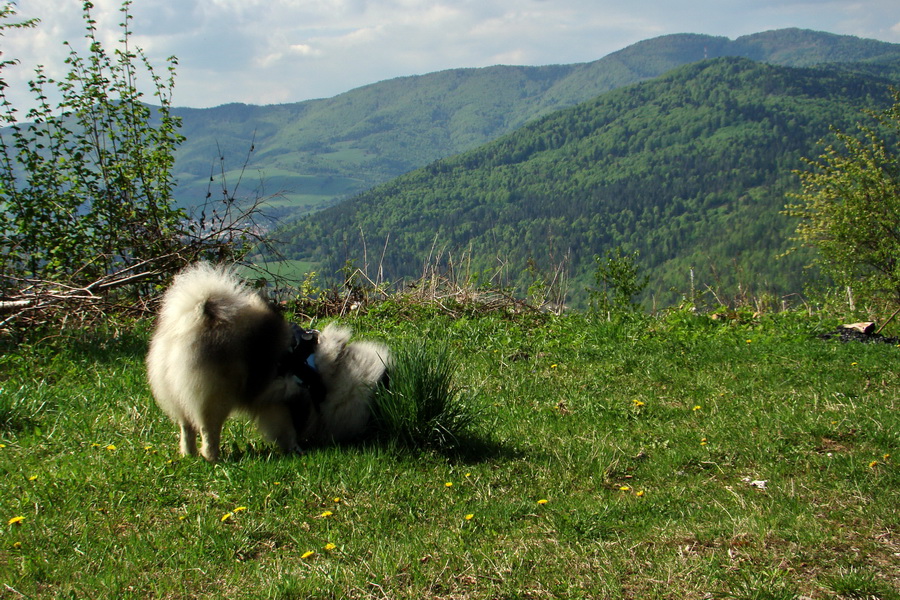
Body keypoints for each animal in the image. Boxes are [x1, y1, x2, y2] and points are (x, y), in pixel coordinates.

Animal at [146, 260, 388, 462]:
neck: (333, 377)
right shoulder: (280, 401)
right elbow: (287, 429)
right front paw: (295, 449)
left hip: (179, 394)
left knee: (186, 425)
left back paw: (189, 454)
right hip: (216, 396)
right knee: (208, 428)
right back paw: (212, 456)